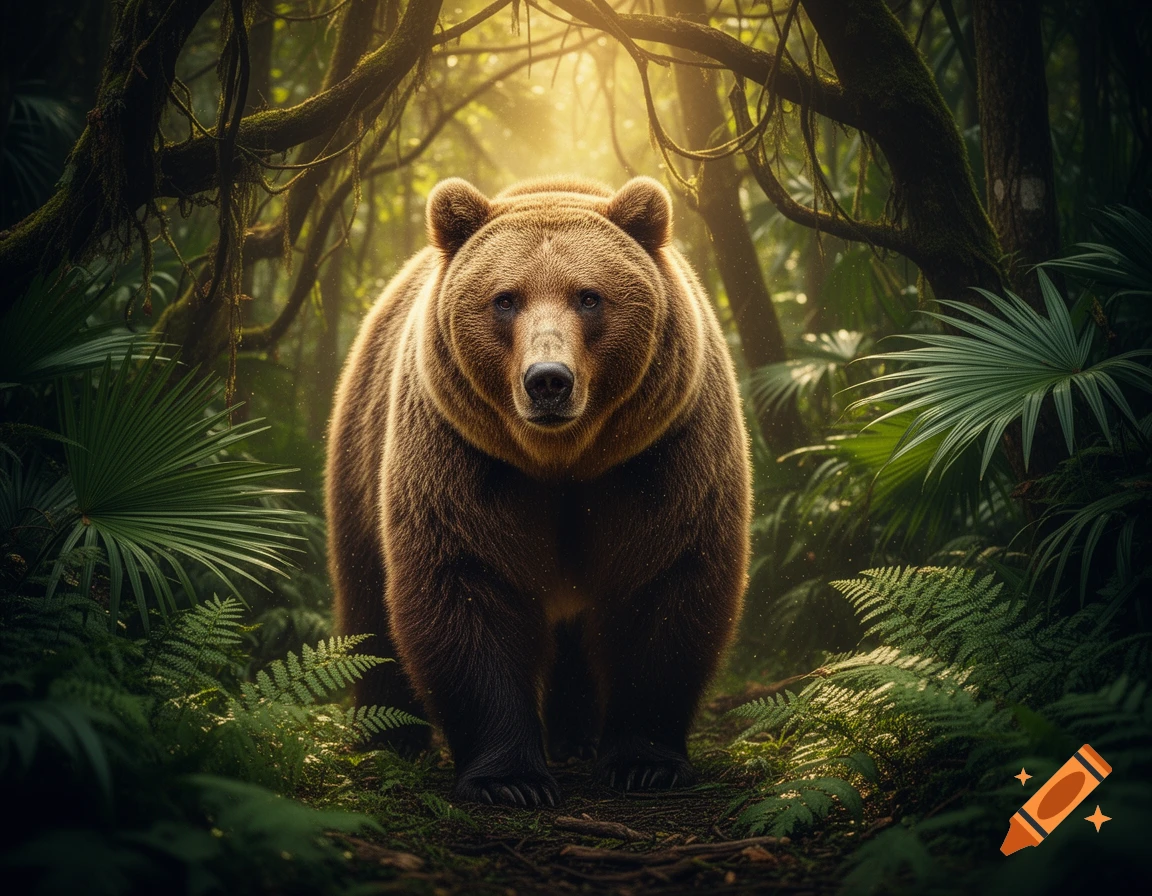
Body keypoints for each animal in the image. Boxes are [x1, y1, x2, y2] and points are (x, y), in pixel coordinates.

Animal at [326, 175, 751, 807]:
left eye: (589, 296)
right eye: (505, 298)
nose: (548, 380)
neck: (563, 462)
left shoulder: (662, 453)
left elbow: (664, 583)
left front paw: (644, 762)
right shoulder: (466, 457)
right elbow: (468, 584)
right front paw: (510, 778)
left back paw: (575, 739)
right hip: (361, 456)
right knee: (367, 605)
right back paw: (389, 738)